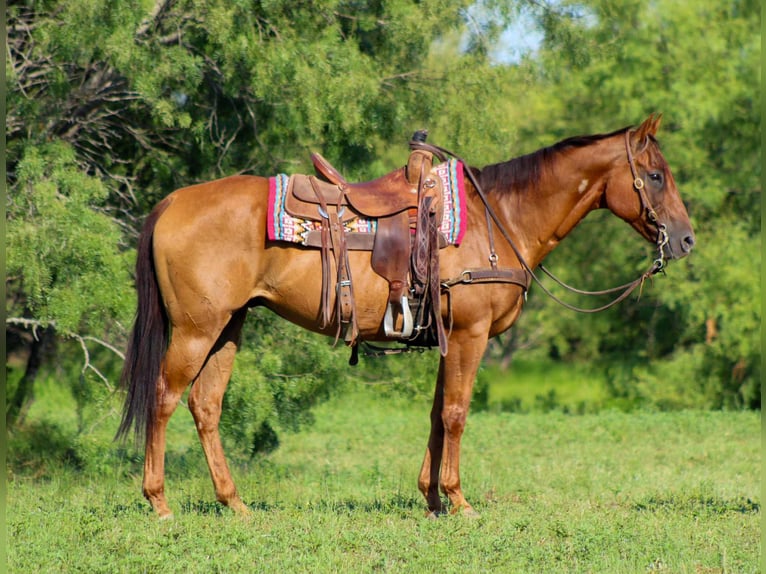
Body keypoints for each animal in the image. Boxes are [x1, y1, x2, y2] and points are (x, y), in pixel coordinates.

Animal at [117, 114, 695, 518]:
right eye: (654, 176)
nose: (686, 240)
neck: (499, 220)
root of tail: (172, 202)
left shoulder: (449, 336)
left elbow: (438, 414)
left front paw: (432, 498)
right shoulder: (471, 335)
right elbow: (457, 413)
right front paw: (459, 500)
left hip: (229, 325)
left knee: (206, 405)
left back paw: (234, 502)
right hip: (197, 328)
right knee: (164, 399)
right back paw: (159, 502)